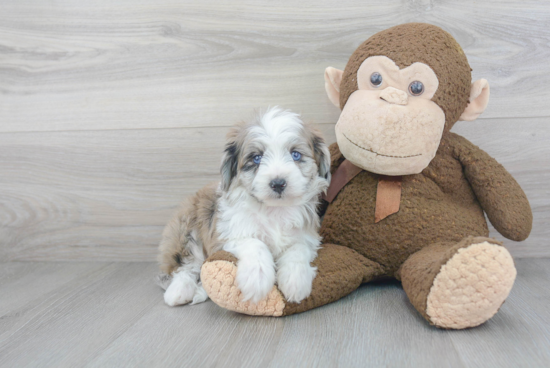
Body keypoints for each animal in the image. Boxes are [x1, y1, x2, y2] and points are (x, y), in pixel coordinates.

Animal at [158, 107, 332, 308]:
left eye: (295, 154)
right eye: (257, 158)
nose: (278, 183)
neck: (274, 209)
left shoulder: (307, 235)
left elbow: (299, 248)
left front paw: (295, 281)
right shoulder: (227, 234)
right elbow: (255, 243)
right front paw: (256, 279)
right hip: (186, 228)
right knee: (187, 264)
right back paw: (179, 291)